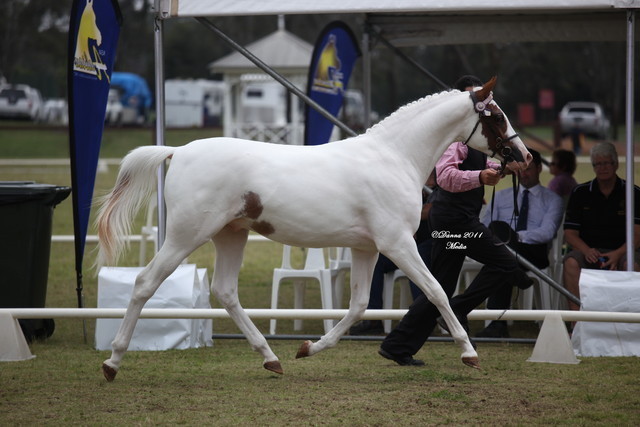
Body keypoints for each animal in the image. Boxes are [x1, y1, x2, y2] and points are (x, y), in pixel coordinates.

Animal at [96, 77, 531, 381]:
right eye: (496, 115)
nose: (523, 157)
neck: (394, 158)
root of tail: (178, 151)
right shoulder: (397, 243)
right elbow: (437, 291)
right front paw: (469, 353)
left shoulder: (367, 248)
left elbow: (358, 305)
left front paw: (308, 348)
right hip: (186, 235)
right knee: (145, 283)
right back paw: (113, 361)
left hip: (231, 235)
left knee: (225, 291)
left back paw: (271, 359)